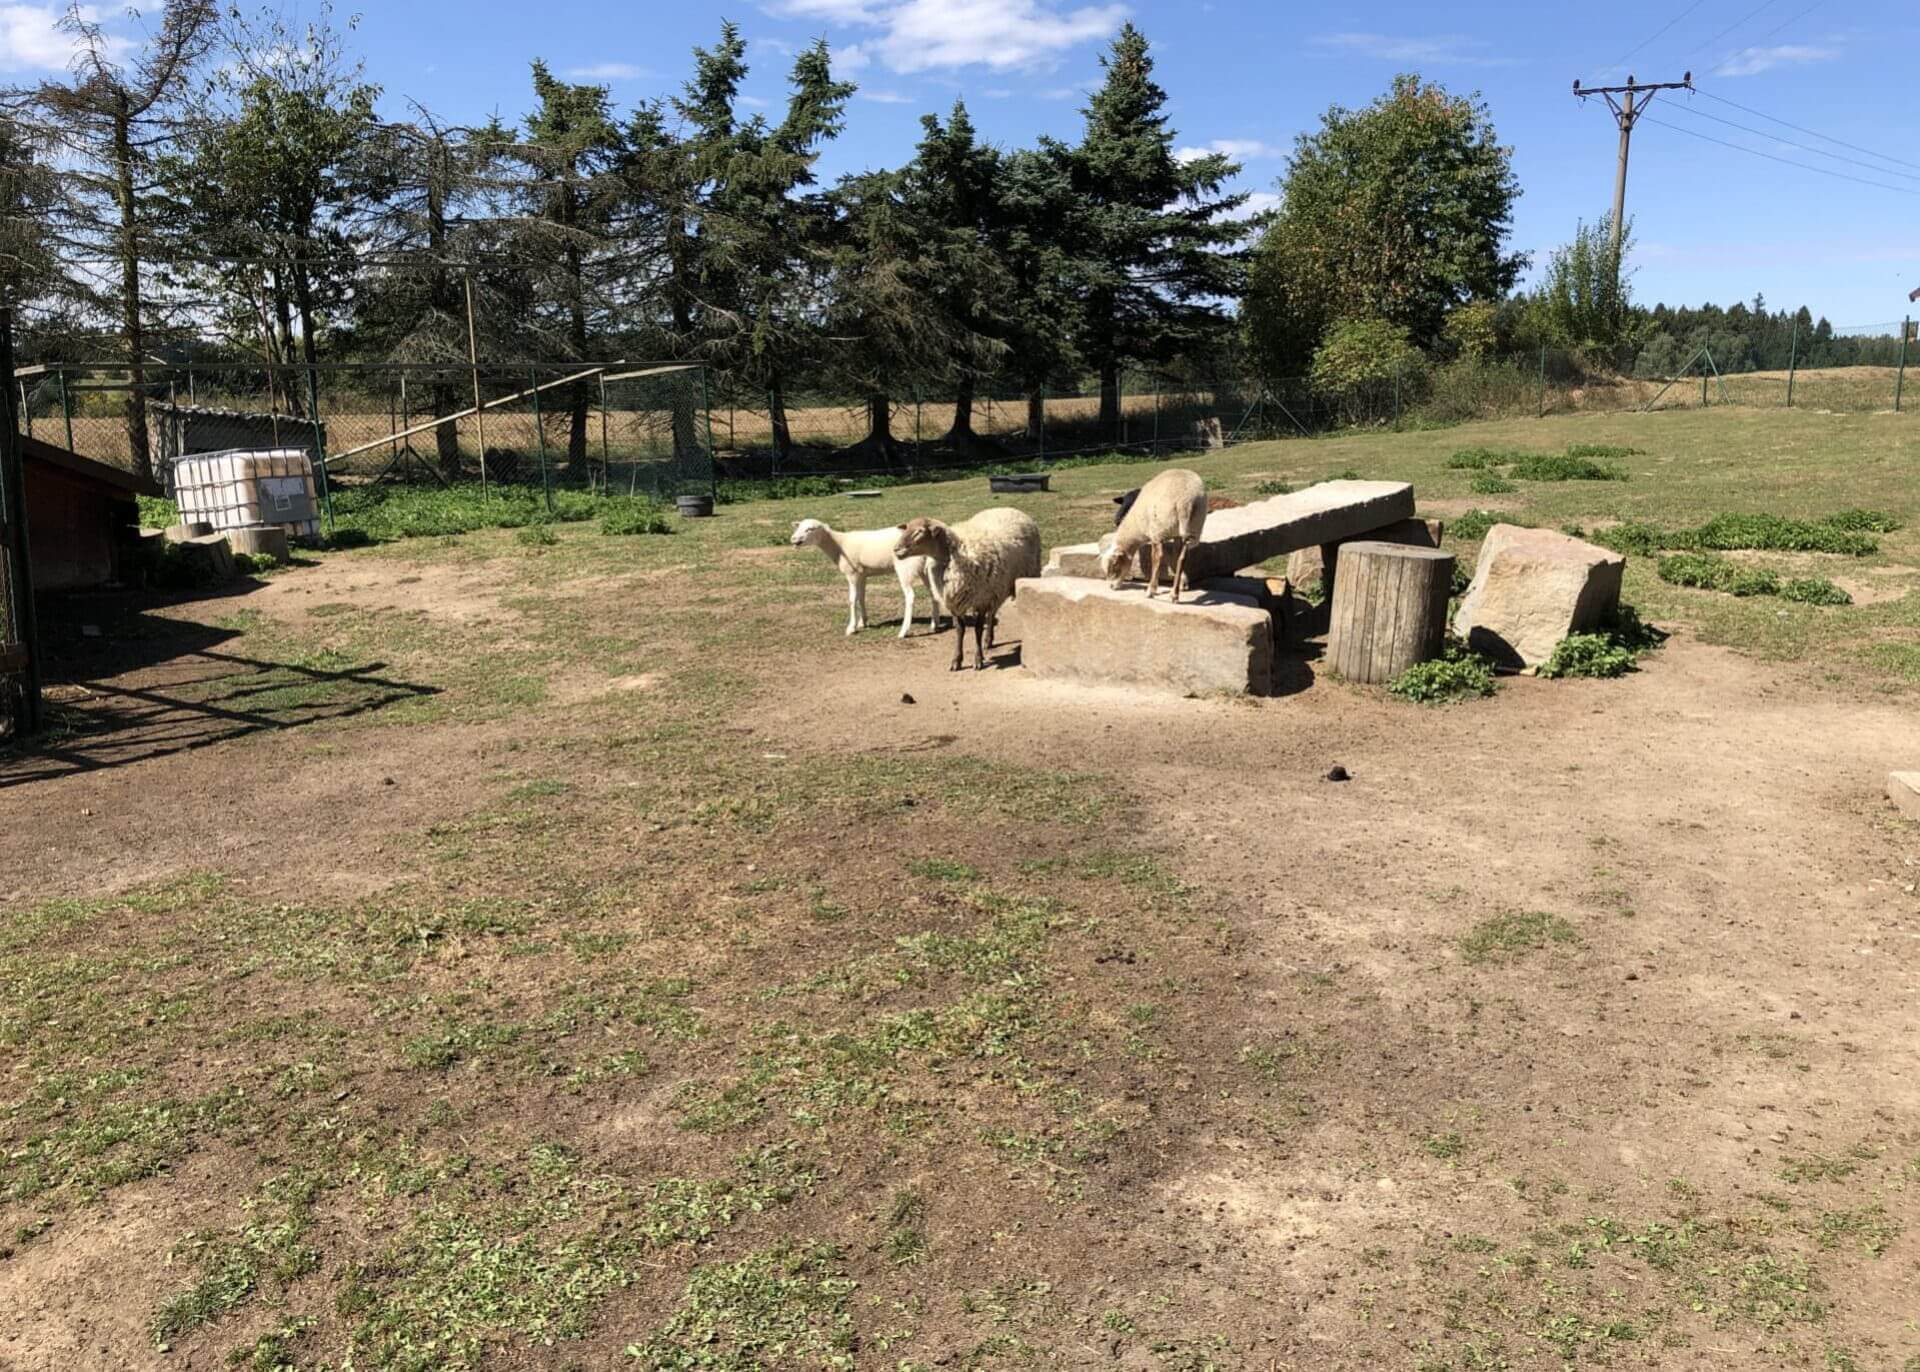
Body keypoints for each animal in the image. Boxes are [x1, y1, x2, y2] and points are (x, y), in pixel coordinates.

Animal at [790, 518, 949, 638]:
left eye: (810, 529)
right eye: (799, 527)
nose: (793, 539)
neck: (839, 545)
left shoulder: (852, 573)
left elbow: (852, 600)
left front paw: (851, 628)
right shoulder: (862, 574)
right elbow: (862, 597)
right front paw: (863, 622)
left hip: (905, 568)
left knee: (910, 596)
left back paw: (904, 631)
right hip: (924, 569)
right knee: (933, 592)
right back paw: (934, 624)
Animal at [894, 507, 1042, 671]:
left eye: (919, 532)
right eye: (906, 528)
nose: (896, 549)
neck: (954, 554)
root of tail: (1010, 508)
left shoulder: (981, 598)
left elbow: (977, 628)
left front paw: (978, 660)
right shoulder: (955, 600)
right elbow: (960, 629)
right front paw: (956, 660)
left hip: (1019, 578)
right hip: (997, 587)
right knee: (992, 612)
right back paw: (988, 640)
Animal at [1098, 467, 1208, 602]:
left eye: (1115, 566)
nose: (1111, 586)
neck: (1136, 529)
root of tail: (1185, 501)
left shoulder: (1154, 535)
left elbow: (1156, 558)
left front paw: (1154, 589)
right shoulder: (1176, 535)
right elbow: (1175, 558)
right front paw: (1183, 583)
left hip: (1159, 527)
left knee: (1158, 557)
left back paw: (1151, 590)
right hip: (1193, 526)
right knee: (1182, 557)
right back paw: (1174, 594)